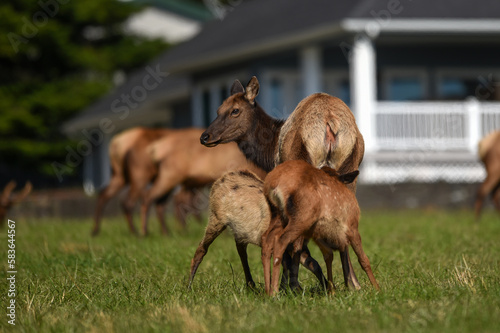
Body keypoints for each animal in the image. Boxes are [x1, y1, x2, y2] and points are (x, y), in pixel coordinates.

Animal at [188, 170, 328, 290]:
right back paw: (189, 287)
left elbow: (312, 264)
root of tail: (223, 177)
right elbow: (286, 264)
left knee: (241, 250)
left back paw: (251, 285)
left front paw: (327, 289)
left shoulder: (298, 246)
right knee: (201, 249)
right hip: (216, 219)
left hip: (240, 230)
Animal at [200, 76, 368, 288]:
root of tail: (329, 121)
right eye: (218, 110)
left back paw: (293, 285)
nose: (205, 136)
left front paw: (285, 283)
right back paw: (353, 283)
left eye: (235, 110)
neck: (268, 153)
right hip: (351, 167)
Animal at [262, 160, 378, 294]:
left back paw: (267, 290)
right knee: (281, 240)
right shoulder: (352, 226)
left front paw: (332, 291)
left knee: (267, 239)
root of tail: (274, 183)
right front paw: (377, 289)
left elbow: (329, 256)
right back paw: (274, 292)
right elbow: (363, 259)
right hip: (302, 216)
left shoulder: (318, 234)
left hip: (278, 215)